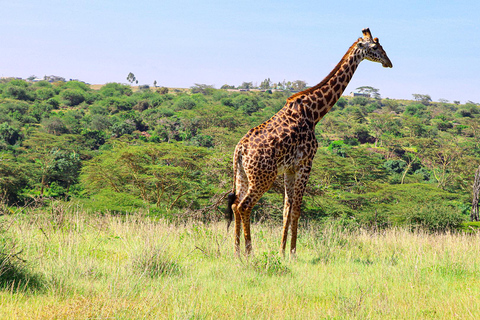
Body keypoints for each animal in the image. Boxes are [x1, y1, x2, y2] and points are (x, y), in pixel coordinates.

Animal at [227, 28, 392, 258]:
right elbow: (297, 209)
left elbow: (286, 209)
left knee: (235, 205)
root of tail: (240, 150)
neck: (314, 113)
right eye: (376, 47)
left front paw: (282, 251)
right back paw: (249, 252)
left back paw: (236, 251)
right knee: (245, 206)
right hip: (263, 177)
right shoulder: (306, 162)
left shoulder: (290, 168)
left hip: (243, 174)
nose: (389, 62)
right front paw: (293, 253)